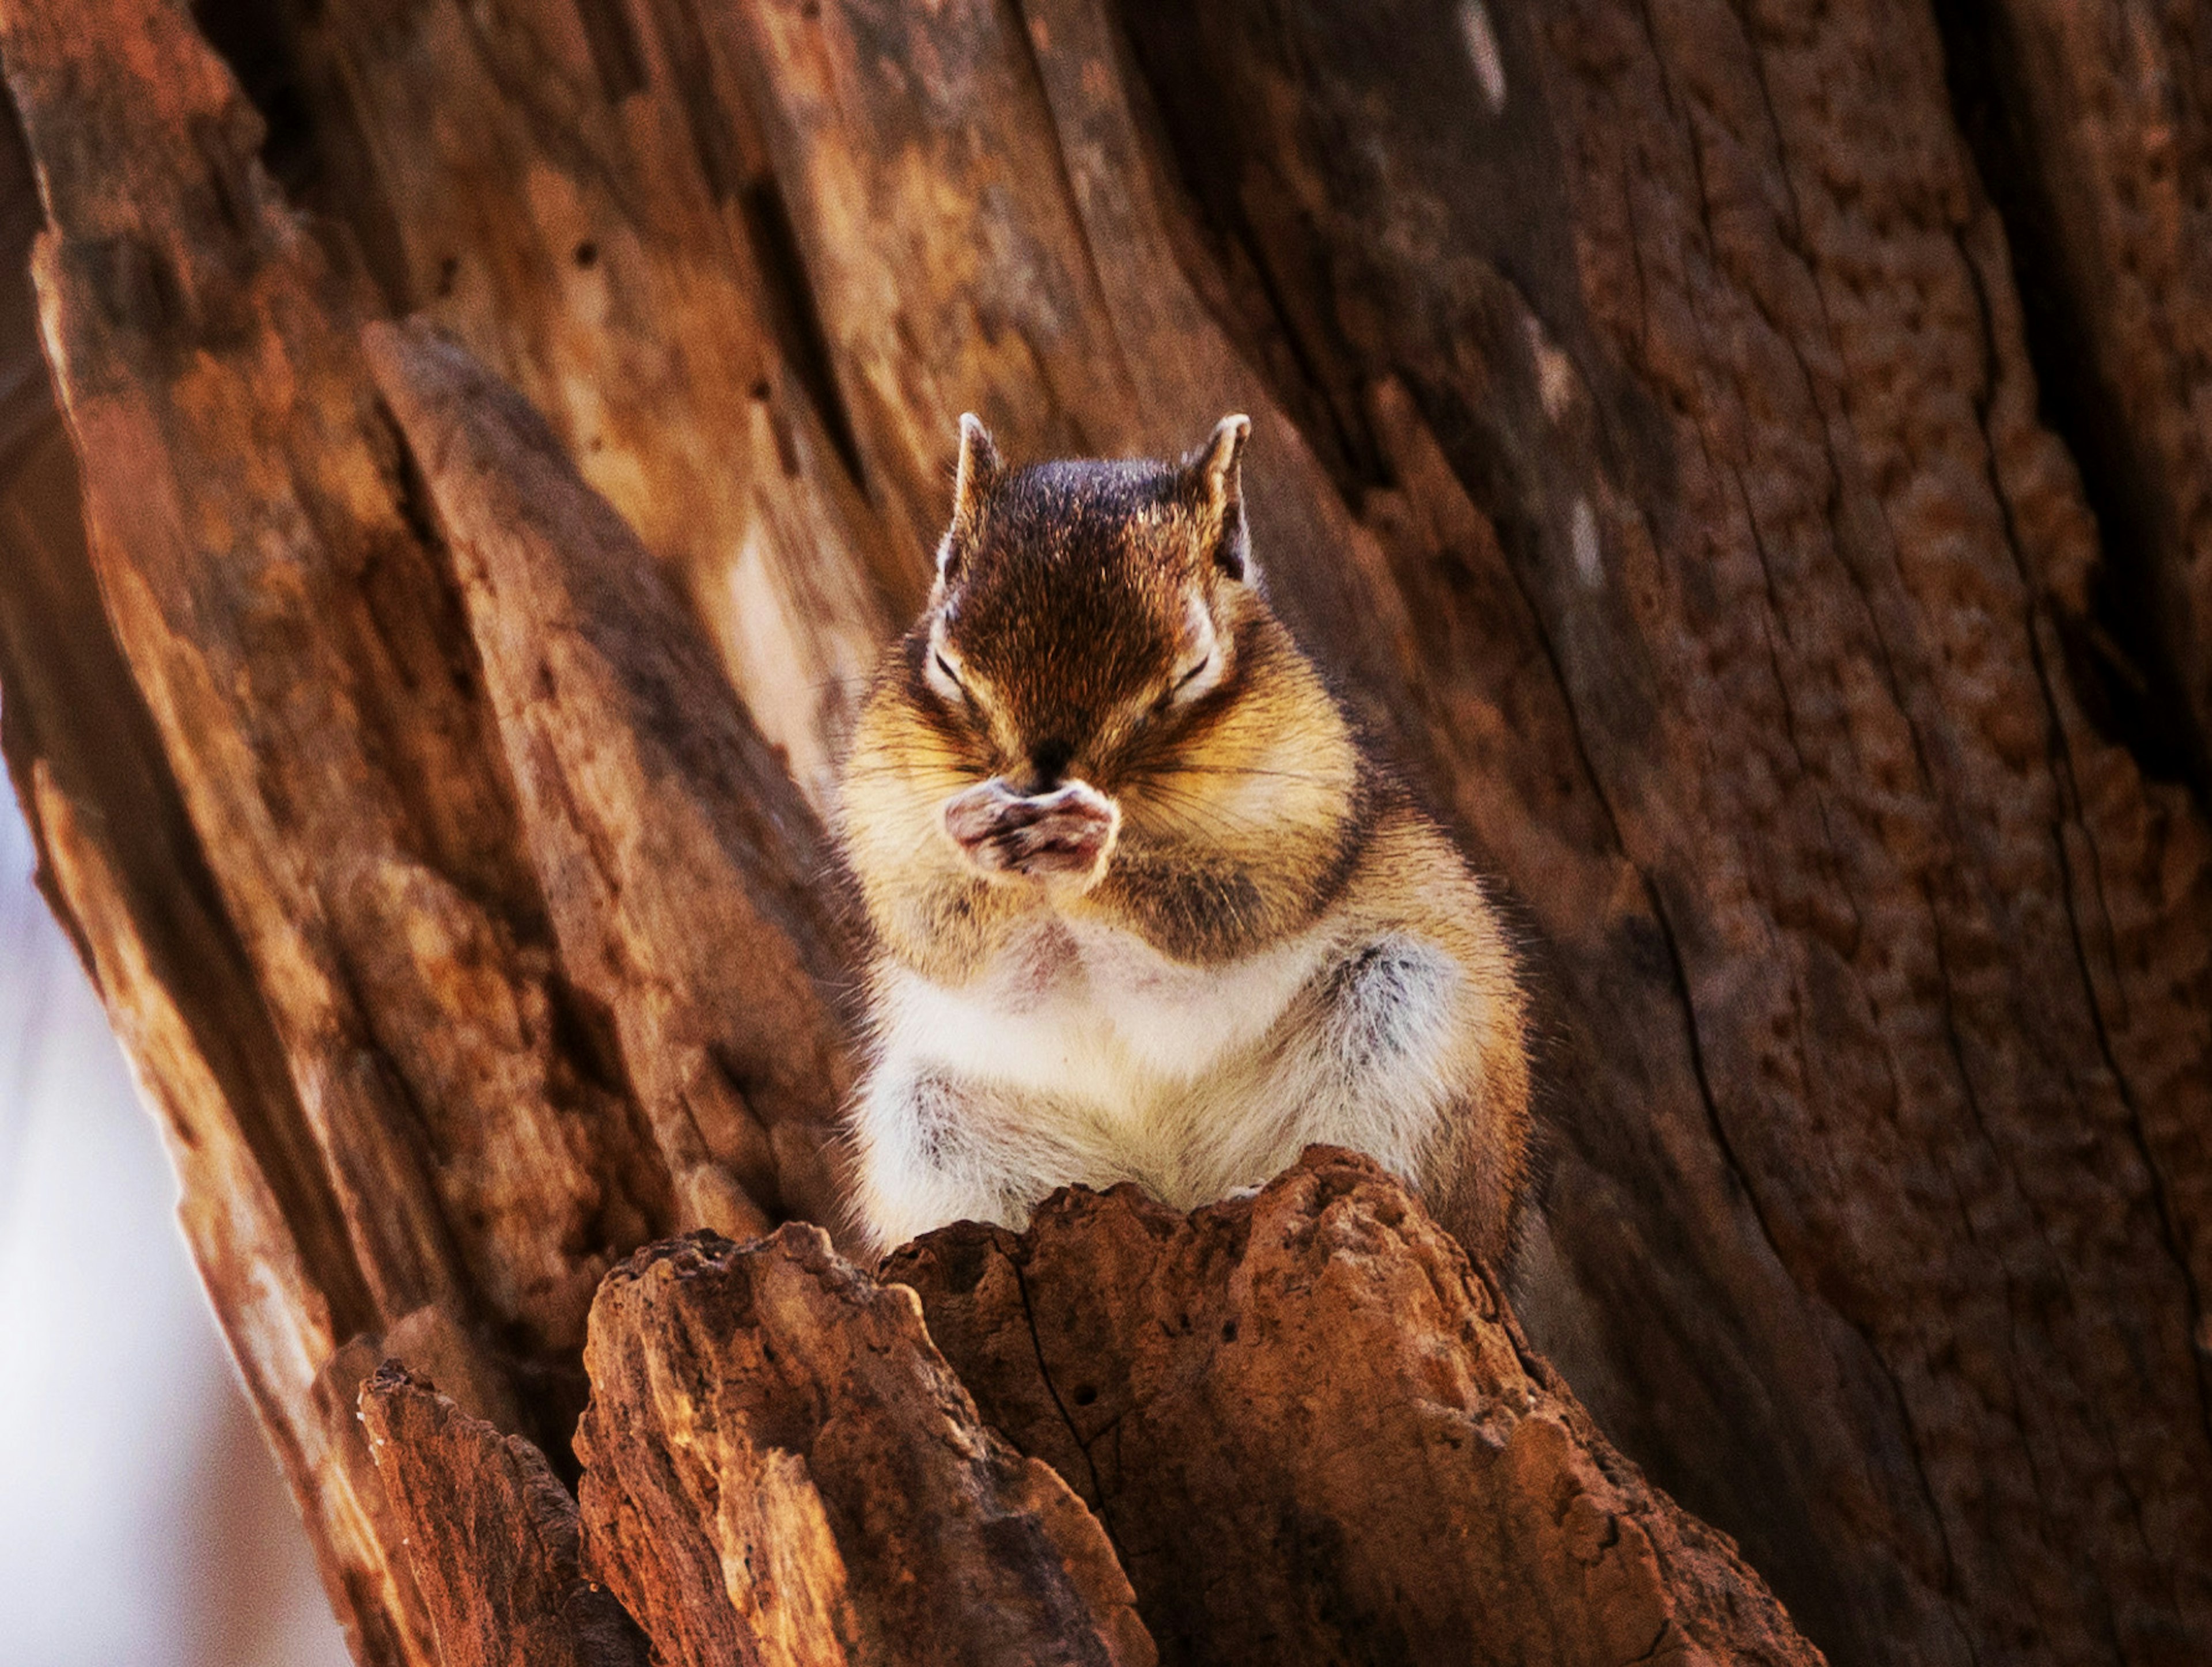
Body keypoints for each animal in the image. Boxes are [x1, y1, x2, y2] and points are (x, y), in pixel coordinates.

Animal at [836, 413, 1531, 1256]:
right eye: (946, 663)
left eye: (1192, 670)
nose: (1041, 780)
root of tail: (1174, 1188)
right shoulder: (887, 836)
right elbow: (954, 940)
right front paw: (979, 837)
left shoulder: (1297, 832)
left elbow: (1211, 920)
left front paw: (1092, 848)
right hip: (925, 1120)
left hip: (1403, 1015)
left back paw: (1262, 1187)